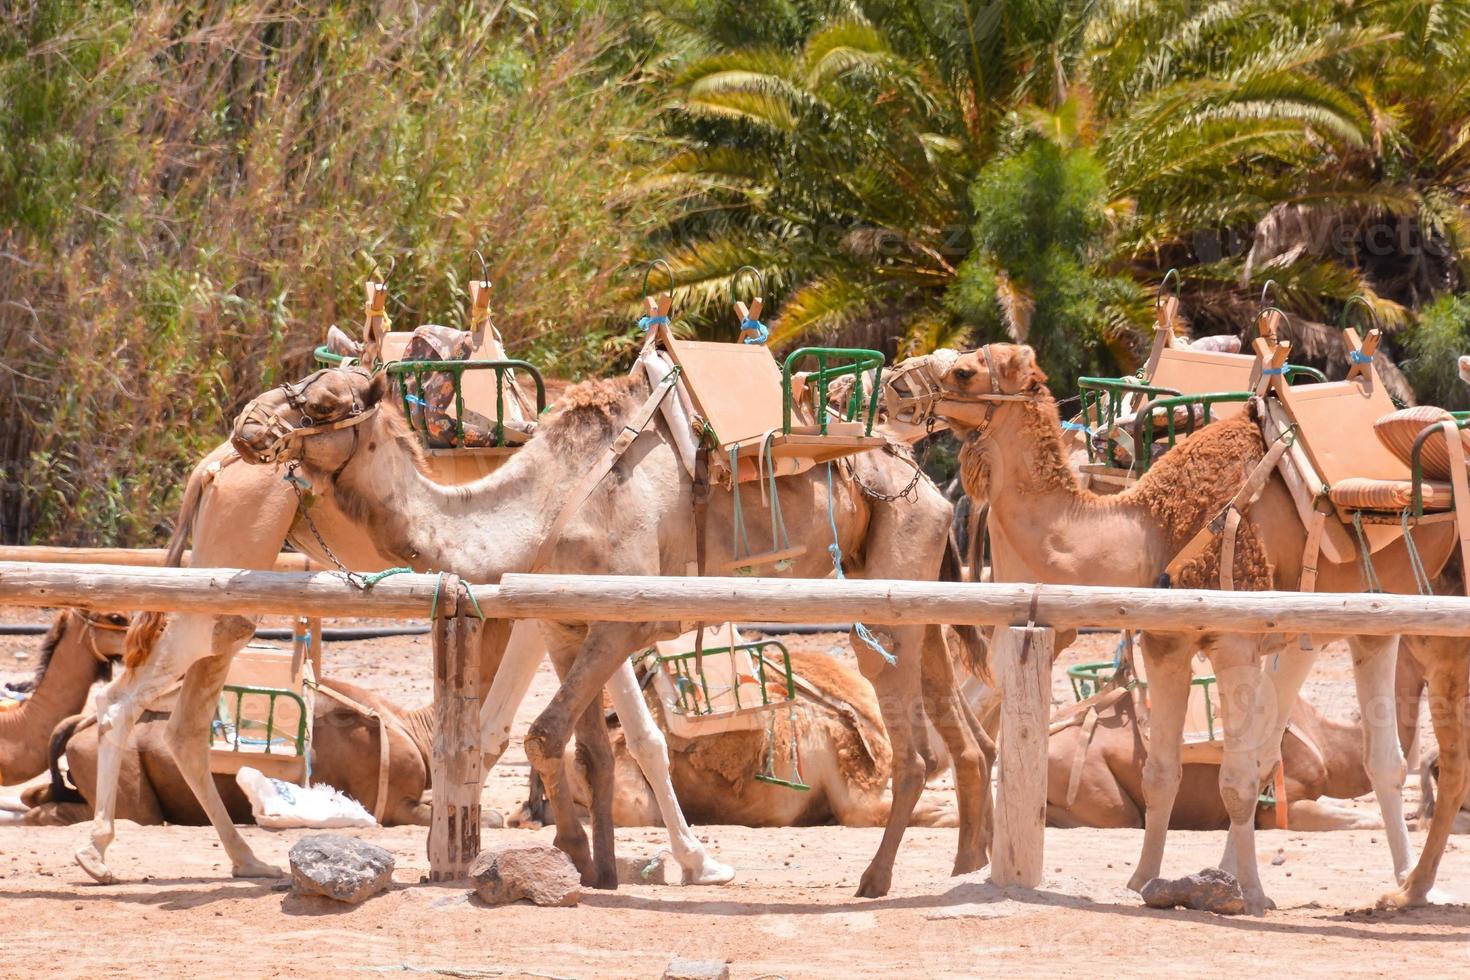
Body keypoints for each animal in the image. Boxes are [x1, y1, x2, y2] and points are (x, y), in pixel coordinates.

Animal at [226, 364, 987, 899]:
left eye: (325, 403)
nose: (244, 426)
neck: (548, 504)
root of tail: (925, 479)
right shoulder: (568, 623)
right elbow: (582, 747)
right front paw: (597, 866)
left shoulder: (633, 615)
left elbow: (550, 735)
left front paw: (576, 855)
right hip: (912, 583)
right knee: (955, 717)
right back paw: (968, 860)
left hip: (888, 587)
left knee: (915, 747)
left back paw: (877, 880)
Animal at [923, 343, 1464, 910]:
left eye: (963, 371)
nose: (904, 385)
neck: (1152, 529)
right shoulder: (1167, 641)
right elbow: (1163, 773)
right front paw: (1144, 879)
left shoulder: (1235, 641)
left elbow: (1237, 778)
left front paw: (1250, 892)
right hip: (1344, 624)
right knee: (1364, 754)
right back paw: (1402, 882)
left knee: (1380, 755)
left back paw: (1408, 885)